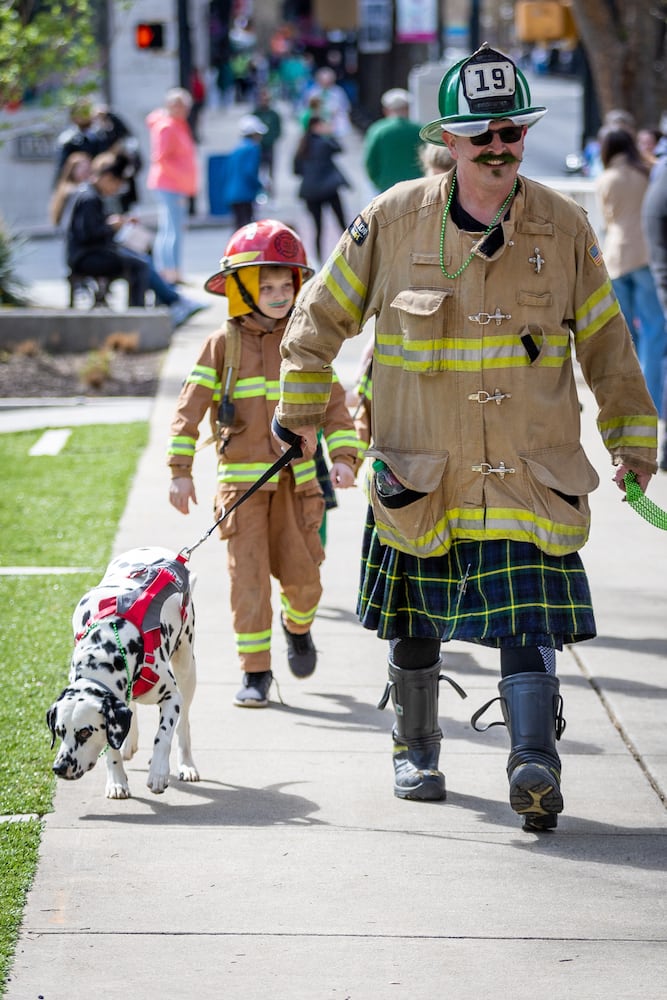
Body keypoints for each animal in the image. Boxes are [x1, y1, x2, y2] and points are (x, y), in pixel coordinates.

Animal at [46, 548, 198, 796]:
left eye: (85, 733)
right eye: (59, 731)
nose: (59, 768)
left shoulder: (171, 697)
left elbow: (163, 735)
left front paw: (158, 772)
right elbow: (112, 748)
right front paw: (117, 781)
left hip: (186, 668)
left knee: (183, 724)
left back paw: (187, 765)